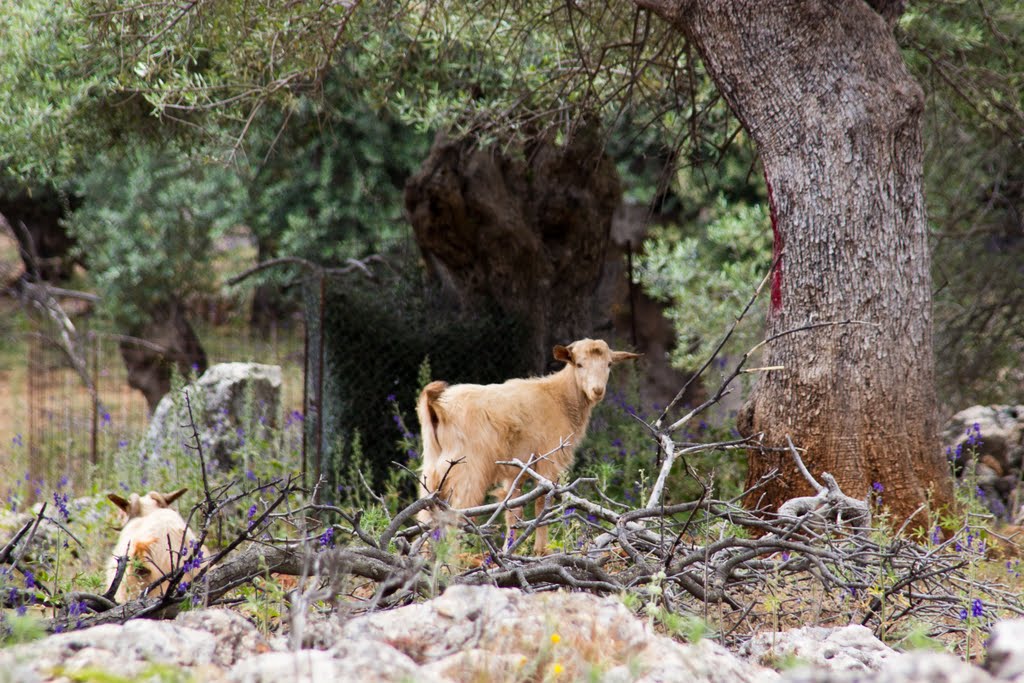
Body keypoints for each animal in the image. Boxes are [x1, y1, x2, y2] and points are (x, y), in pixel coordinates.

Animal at [415, 339, 638, 552]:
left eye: (609, 364)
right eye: (579, 364)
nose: (597, 391)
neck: (560, 397)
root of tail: (437, 407)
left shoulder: (517, 468)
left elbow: (513, 509)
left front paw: (509, 549)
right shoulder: (550, 456)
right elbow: (542, 501)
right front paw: (541, 551)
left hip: (432, 469)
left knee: (426, 517)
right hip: (468, 470)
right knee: (457, 519)